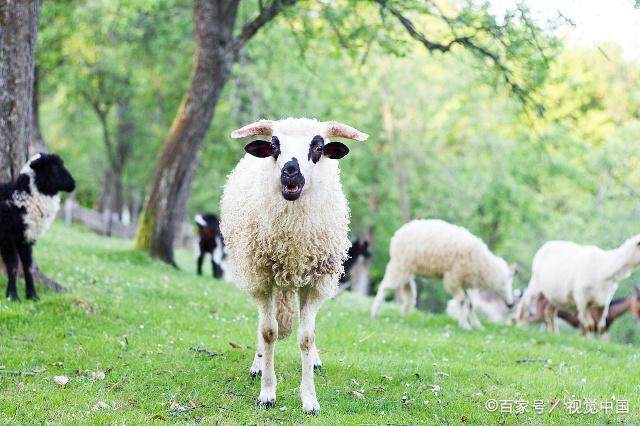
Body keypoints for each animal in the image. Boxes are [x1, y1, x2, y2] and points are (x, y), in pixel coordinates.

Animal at [0, 155, 75, 302]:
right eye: (53, 168)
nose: (73, 184)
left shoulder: (26, 238)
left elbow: (28, 266)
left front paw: (32, 295)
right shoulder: (7, 237)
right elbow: (13, 264)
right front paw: (13, 296)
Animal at [220, 116, 368, 412]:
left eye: (318, 147)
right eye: (274, 145)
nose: (290, 171)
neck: (293, 241)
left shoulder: (315, 283)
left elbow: (306, 337)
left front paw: (310, 399)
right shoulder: (262, 279)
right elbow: (268, 332)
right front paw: (267, 393)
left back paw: (315, 361)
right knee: (267, 325)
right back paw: (257, 365)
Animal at [370, 220, 516, 330]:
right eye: (504, 284)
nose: (511, 304)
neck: (483, 265)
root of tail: (398, 234)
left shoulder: (463, 283)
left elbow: (470, 304)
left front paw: (477, 325)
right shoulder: (453, 278)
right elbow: (462, 300)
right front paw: (465, 325)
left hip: (407, 269)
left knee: (409, 289)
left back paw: (404, 310)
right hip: (399, 265)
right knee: (385, 287)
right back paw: (374, 312)